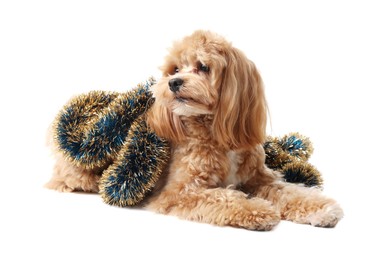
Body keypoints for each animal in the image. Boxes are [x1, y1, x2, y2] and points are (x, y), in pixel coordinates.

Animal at [47, 31, 344, 232]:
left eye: (203, 67)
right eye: (175, 69)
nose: (174, 82)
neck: (215, 131)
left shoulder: (260, 179)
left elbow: (291, 191)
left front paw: (321, 207)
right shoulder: (181, 192)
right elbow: (225, 197)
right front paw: (257, 209)